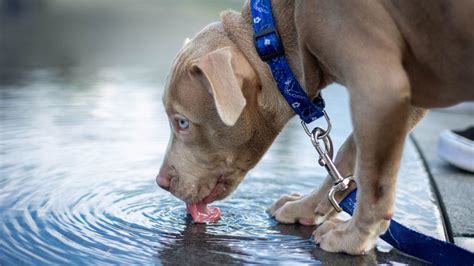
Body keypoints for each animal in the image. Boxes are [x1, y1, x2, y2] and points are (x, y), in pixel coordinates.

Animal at [156, 0, 474, 254]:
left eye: (182, 123)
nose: (160, 182)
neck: (275, 43)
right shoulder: (406, 98)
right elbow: (346, 156)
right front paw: (308, 208)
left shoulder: (379, 89)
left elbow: (374, 180)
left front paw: (353, 239)